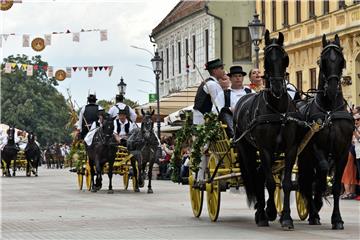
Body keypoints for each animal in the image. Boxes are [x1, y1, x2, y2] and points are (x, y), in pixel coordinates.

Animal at [232, 30, 300, 229]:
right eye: (267, 60)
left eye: (284, 58)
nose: (277, 87)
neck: (277, 109)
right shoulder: (265, 149)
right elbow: (269, 183)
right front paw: (267, 212)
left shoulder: (290, 149)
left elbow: (286, 183)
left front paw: (286, 217)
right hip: (247, 149)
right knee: (255, 176)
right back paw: (261, 212)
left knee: (260, 174)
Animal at [296, 34, 352, 230]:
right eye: (323, 61)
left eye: (341, 60)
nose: (333, 89)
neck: (329, 111)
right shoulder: (316, 149)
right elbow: (321, 175)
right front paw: (316, 206)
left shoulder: (343, 153)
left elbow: (335, 185)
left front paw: (337, 219)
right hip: (304, 156)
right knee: (308, 180)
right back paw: (313, 211)